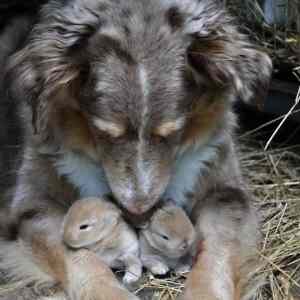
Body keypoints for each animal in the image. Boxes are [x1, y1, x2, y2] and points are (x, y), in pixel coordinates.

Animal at [0, 0, 272, 300]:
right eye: (104, 133)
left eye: (173, 132)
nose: (139, 212)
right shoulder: (32, 205)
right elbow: (78, 257)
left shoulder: (224, 191)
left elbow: (217, 252)